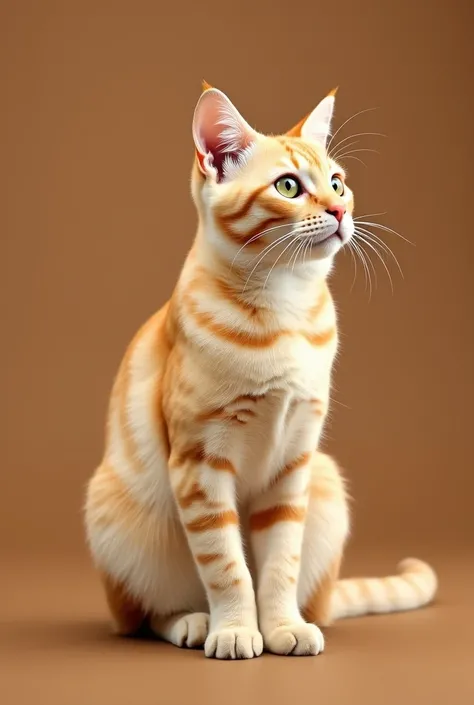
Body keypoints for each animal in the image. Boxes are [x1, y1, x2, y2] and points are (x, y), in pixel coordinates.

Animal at [84, 82, 436, 660]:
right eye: (289, 186)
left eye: (337, 182)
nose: (339, 208)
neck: (283, 311)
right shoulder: (200, 465)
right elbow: (227, 565)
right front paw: (234, 629)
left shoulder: (293, 462)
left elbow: (278, 566)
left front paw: (282, 626)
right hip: (115, 515)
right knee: (145, 613)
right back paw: (193, 622)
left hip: (326, 482)